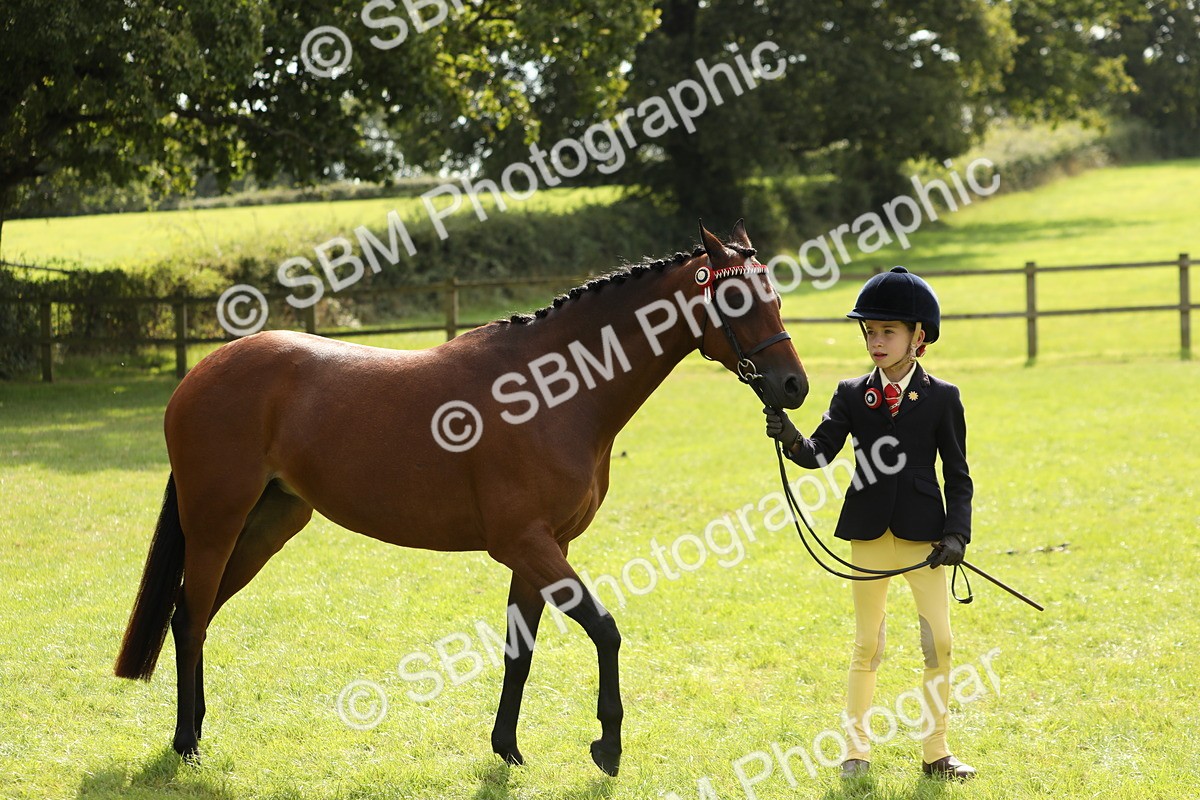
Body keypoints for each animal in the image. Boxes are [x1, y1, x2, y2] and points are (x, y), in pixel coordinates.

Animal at [113, 220, 808, 776]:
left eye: (775, 295)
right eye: (738, 296)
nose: (793, 387)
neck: (550, 390)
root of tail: (199, 374)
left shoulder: (541, 550)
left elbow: (519, 653)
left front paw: (508, 748)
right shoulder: (525, 544)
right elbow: (605, 630)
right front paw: (607, 748)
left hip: (266, 526)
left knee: (196, 616)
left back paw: (194, 728)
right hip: (215, 524)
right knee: (189, 617)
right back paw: (186, 741)